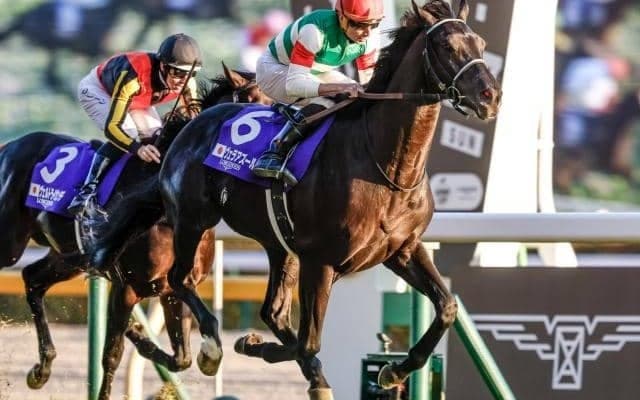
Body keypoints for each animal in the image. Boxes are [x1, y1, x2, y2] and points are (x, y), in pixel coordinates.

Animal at [0, 66, 268, 399]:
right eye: (252, 104)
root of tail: (9, 147)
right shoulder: (125, 287)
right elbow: (111, 356)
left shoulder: (171, 291)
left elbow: (181, 357)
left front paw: (144, 336)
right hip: (11, 244)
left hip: (69, 258)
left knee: (32, 278)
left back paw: (42, 368)